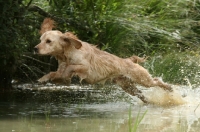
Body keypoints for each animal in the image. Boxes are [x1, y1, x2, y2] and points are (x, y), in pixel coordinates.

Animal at [34, 17, 172, 102]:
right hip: (127, 86)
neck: (67, 54)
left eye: (48, 41)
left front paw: (65, 76)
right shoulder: (60, 67)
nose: (35, 49)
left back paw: (169, 88)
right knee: (141, 94)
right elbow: (53, 73)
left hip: (143, 79)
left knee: (156, 81)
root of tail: (129, 60)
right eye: (40, 40)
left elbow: (71, 68)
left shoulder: (86, 68)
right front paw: (44, 79)